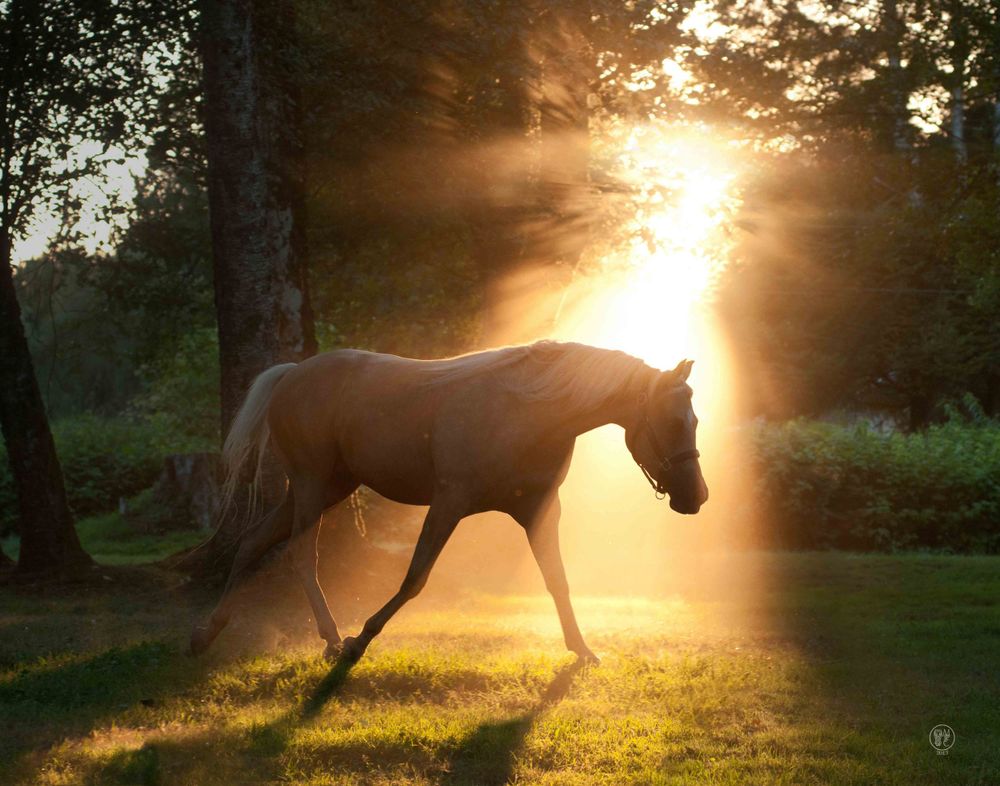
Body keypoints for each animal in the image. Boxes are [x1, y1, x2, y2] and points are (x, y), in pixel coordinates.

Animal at [190, 340, 708, 663]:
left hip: (327, 486)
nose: (697, 497)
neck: (526, 411)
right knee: (300, 554)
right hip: (313, 484)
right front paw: (360, 641)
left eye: (694, 419)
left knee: (253, 541)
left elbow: (557, 580)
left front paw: (581, 650)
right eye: (673, 421)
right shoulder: (449, 502)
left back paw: (209, 631)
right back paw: (333, 638)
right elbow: (415, 578)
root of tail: (292, 373)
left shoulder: (539, 511)